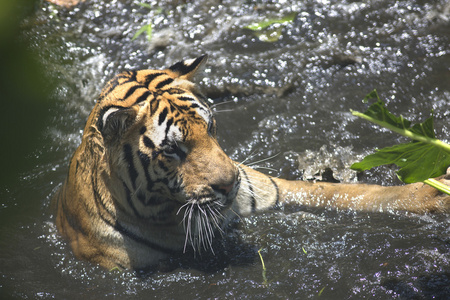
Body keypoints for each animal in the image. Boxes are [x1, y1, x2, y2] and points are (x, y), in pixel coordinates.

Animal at [53, 55, 450, 270]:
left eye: (211, 127)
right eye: (173, 150)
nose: (230, 184)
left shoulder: (273, 190)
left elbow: (343, 193)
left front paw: (433, 193)